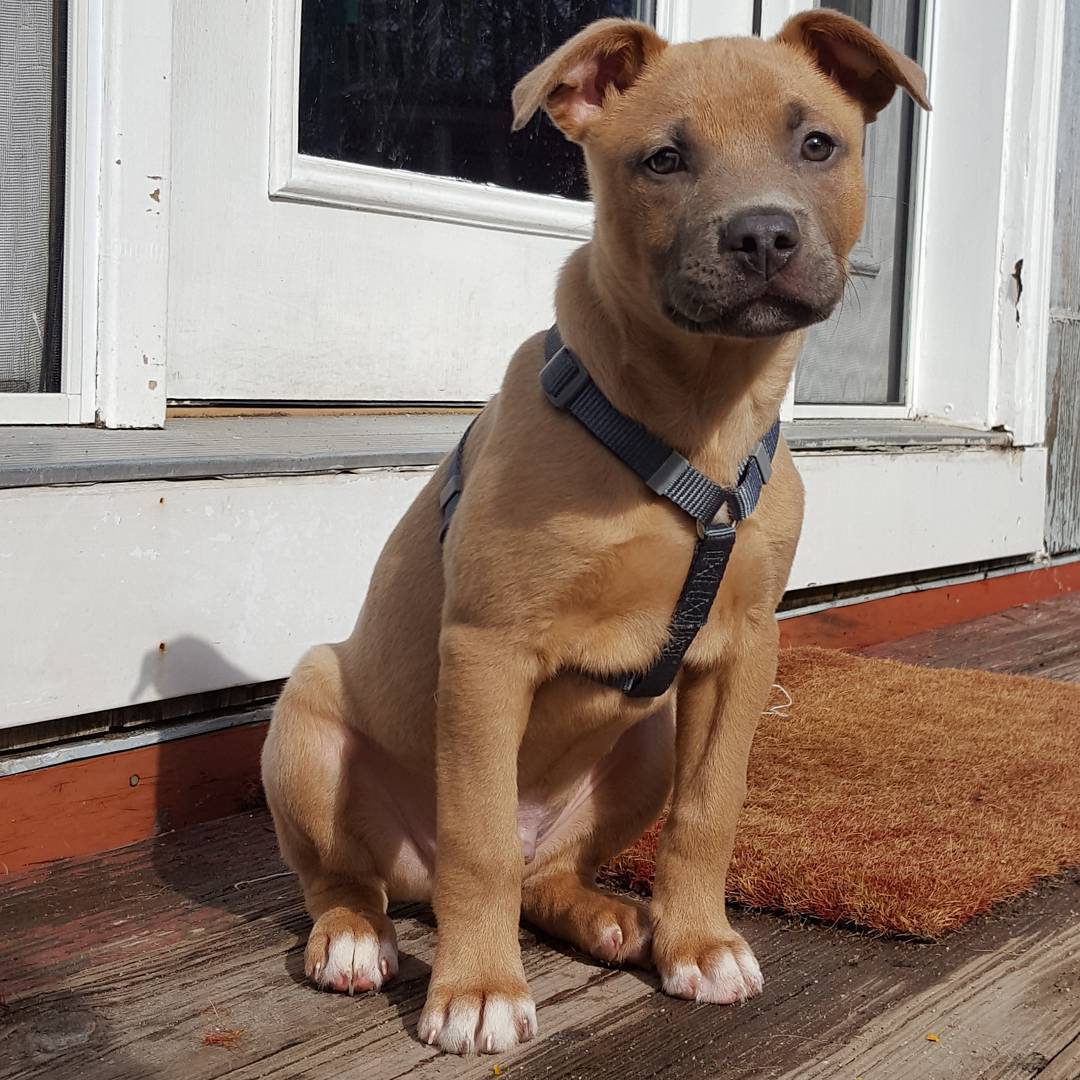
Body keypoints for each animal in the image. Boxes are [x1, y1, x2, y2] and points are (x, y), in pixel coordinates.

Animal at [261, 8, 928, 1054]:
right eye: (664, 159)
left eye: (818, 144)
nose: (764, 235)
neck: (696, 420)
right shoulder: (488, 648)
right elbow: (480, 842)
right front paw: (478, 990)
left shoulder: (743, 652)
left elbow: (708, 812)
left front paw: (700, 946)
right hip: (308, 714)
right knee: (353, 875)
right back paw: (355, 940)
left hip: (646, 739)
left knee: (542, 872)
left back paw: (612, 916)